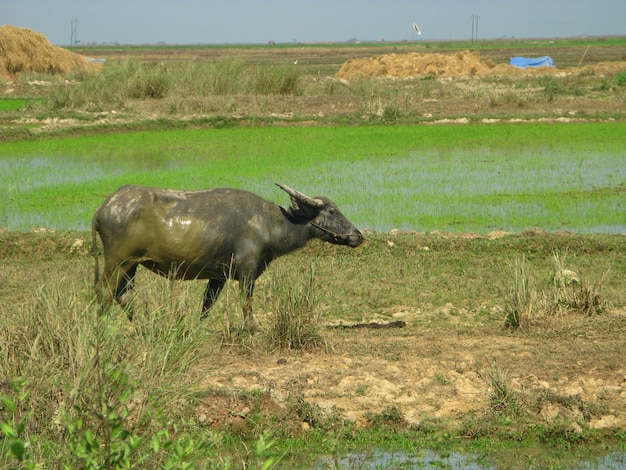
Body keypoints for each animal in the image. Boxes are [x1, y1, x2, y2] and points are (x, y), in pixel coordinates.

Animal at [94, 184, 366, 330]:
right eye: (332, 211)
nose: (358, 236)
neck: (268, 222)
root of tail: (104, 208)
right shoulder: (247, 271)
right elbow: (246, 301)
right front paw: (253, 327)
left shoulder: (219, 276)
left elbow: (207, 304)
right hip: (117, 261)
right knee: (106, 292)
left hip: (132, 265)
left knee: (125, 294)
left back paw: (145, 325)